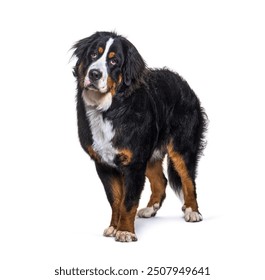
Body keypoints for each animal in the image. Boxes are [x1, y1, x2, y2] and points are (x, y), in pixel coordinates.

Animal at [71, 30, 206, 241]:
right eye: (93, 55)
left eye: (114, 61)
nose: (94, 74)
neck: (109, 110)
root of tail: (182, 81)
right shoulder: (103, 164)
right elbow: (115, 199)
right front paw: (114, 227)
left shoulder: (134, 163)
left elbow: (128, 201)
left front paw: (125, 231)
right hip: (150, 153)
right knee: (161, 181)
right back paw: (150, 209)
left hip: (181, 148)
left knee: (188, 180)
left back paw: (192, 211)